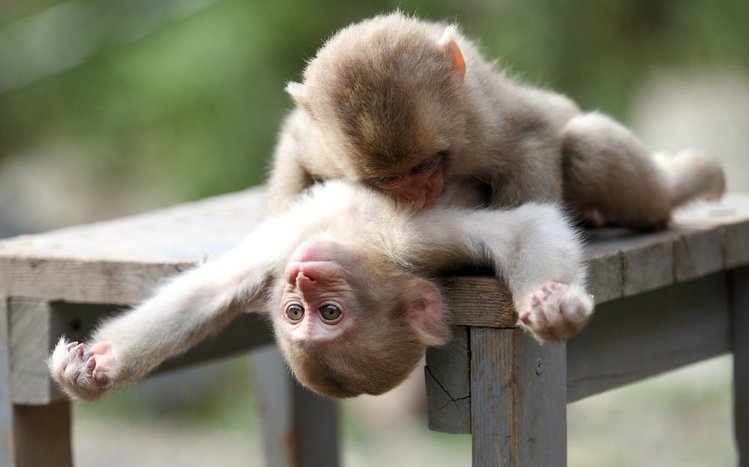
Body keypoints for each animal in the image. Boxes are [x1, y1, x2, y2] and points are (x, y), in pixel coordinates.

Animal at [48, 181, 592, 400]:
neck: (357, 239)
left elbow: (525, 227)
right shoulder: (280, 259)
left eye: (328, 313)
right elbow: (202, 294)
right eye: (295, 313)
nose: (303, 277)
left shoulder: (409, 242)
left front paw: (556, 309)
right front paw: (92, 373)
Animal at [267, 12, 725, 228]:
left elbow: (534, 133)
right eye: (389, 180)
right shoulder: (323, 145)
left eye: (422, 166)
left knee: (586, 146)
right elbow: (293, 144)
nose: (418, 195)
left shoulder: (478, 124)